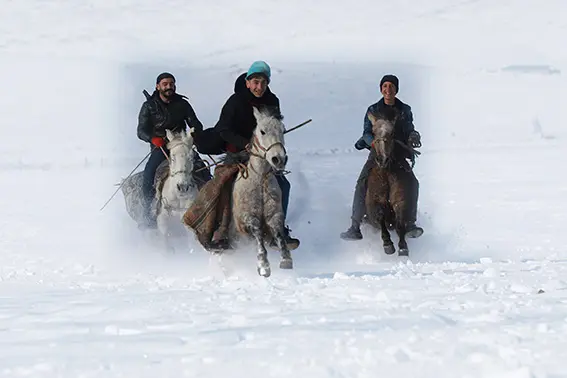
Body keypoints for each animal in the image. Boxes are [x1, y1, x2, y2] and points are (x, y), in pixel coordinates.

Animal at [230, 106, 292, 278]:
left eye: (283, 130)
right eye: (262, 131)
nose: (279, 159)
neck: (260, 182)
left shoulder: (275, 214)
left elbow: (278, 233)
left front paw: (286, 259)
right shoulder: (247, 218)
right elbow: (258, 234)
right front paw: (263, 265)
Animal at [366, 110, 420, 255]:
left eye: (392, 133)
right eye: (373, 132)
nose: (382, 159)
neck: (386, 174)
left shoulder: (401, 200)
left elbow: (400, 222)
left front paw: (403, 247)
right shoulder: (377, 201)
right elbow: (381, 219)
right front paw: (388, 244)